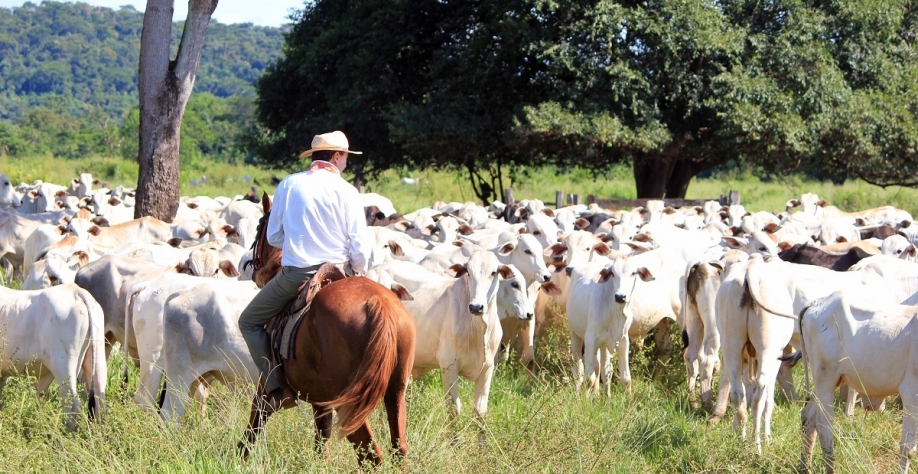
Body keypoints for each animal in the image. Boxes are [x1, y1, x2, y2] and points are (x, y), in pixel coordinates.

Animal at [243, 191, 418, 464]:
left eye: (261, 226)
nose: (254, 269)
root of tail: (378, 303)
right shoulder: (320, 402)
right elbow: (320, 443)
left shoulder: (266, 388)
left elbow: (252, 428)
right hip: (395, 393)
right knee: (398, 449)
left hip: (348, 404)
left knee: (371, 454)